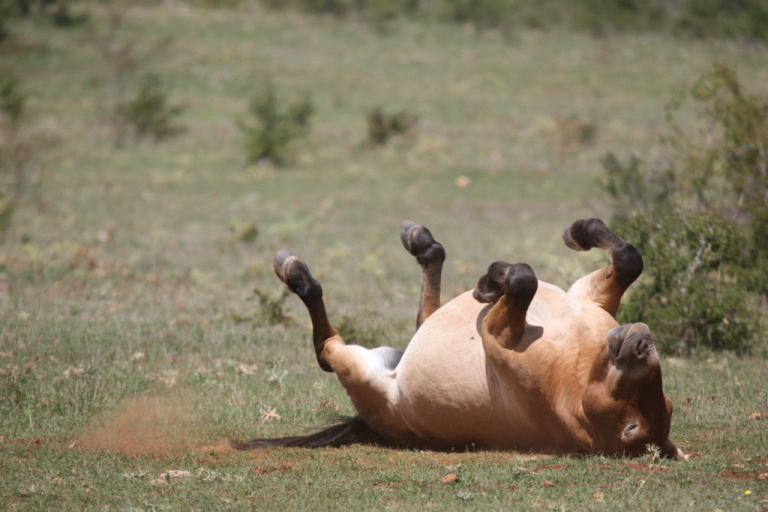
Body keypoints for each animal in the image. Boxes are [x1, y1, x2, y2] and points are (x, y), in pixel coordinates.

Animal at [236, 218, 688, 458]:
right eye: (668, 401)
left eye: (632, 428)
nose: (639, 342)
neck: (572, 371)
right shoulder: (588, 298)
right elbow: (628, 258)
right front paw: (576, 233)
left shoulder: (496, 334)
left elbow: (523, 280)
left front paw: (492, 281)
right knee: (424, 316)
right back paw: (422, 241)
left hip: (359, 370)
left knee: (324, 349)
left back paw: (294, 271)